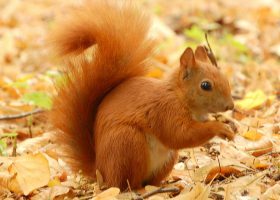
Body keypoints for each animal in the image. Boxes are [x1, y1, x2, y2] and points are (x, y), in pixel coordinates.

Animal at [49, 0, 235, 191]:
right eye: (205, 85)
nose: (230, 106)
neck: (180, 96)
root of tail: (101, 172)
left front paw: (229, 128)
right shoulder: (166, 111)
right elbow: (181, 135)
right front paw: (218, 128)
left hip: (166, 158)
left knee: (151, 179)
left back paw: (167, 184)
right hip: (129, 144)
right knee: (125, 183)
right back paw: (139, 188)